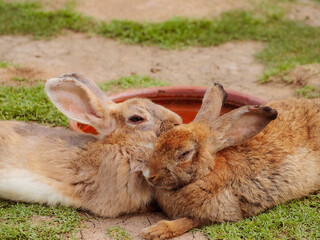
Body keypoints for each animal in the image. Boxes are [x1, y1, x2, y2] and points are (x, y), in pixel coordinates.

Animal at [142, 83, 320, 239]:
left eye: (185, 153)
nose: (148, 175)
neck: (206, 172)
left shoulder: (219, 212)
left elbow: (188, 221)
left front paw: (154, 231)